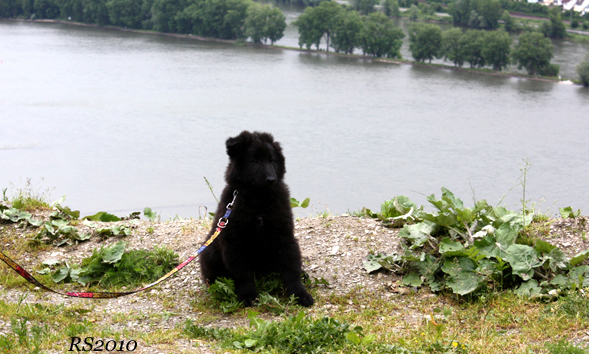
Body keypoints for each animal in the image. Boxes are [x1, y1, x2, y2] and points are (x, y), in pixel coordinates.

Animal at [200, 130, 314, 306]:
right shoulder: (234, 242)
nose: (271, 179)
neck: (259, 199)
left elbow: (291, 268)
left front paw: (300, 294)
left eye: (272, 160)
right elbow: (243, 274)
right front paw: (247, 296)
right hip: (210, 252)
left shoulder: (284, 235)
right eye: (255, 160)